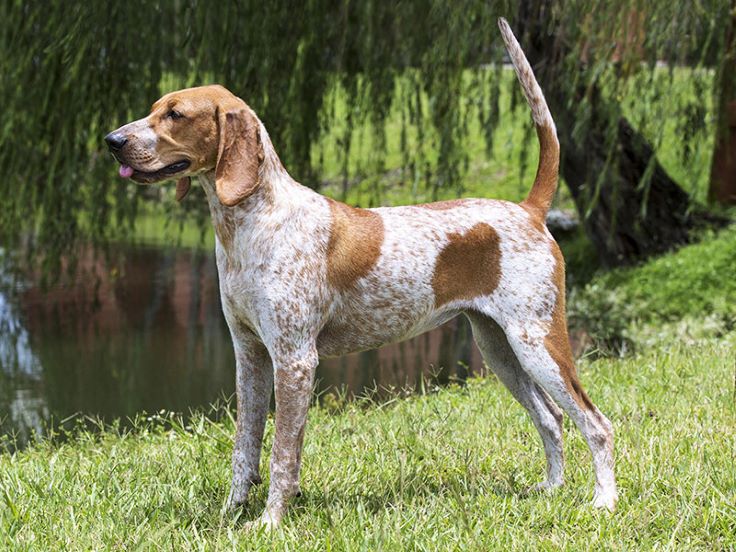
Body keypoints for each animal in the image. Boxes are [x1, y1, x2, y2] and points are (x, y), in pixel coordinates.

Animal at [106, 19, 620, 528]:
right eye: (153, 110)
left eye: (174, 115)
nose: (112, 141)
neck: (251, 224)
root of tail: (529, 209)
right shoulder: (249, 355)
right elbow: (244, 448)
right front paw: (231, 514)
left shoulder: (295, 360)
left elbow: (282, 456)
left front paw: (270, 521)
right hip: (500, 349)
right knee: (551, 418)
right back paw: (551, 489)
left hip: (538, 343)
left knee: (596, 423)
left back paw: (604, 501)